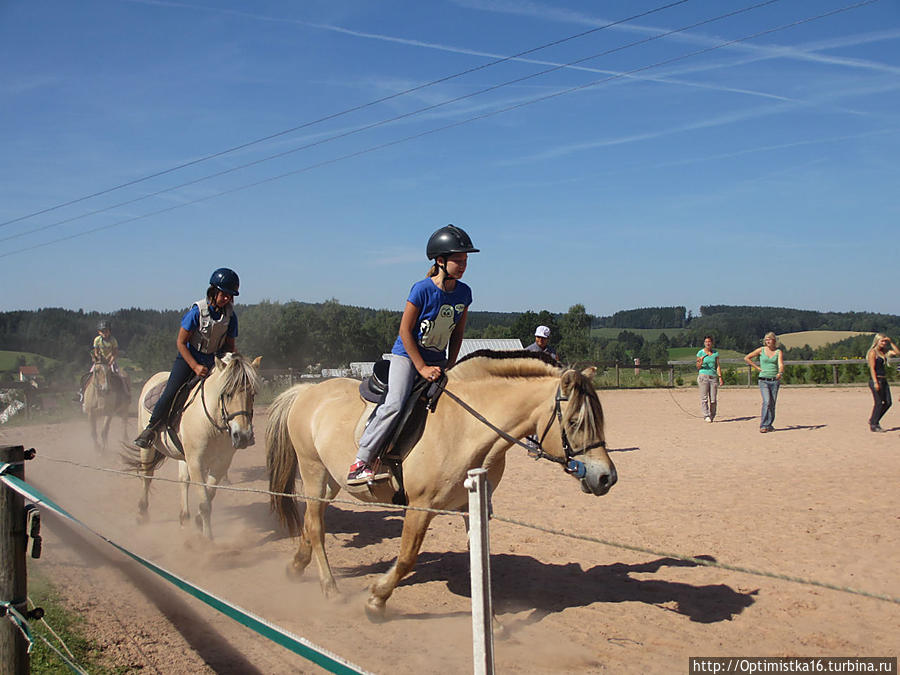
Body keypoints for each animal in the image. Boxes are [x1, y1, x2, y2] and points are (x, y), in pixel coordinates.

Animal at [130, 354, 264, 540]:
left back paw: (184, 517)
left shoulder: (221, 463)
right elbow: (204, 502)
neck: (212, 423)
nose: (243, 436)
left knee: (182, 480)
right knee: (147, 476)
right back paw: (142, 514)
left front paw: (198, 521)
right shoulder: (196, 463)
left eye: (253, 394)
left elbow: (209, 494)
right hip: (148, 448)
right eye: (226, 393)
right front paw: (207, 540)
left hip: (183, 456)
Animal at [266, 352, 620, 620]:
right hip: (312, 471)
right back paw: (330, 590)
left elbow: (480, 563)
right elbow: (406, 558)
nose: (606, 477)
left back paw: (296, 567)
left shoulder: (472, 506)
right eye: (574, 422)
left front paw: (492, 625)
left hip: (331, 480)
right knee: (315, 526)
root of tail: (305, 391)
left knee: (311, 524)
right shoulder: (420, 507)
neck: (467, 429)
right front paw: (376, 600)